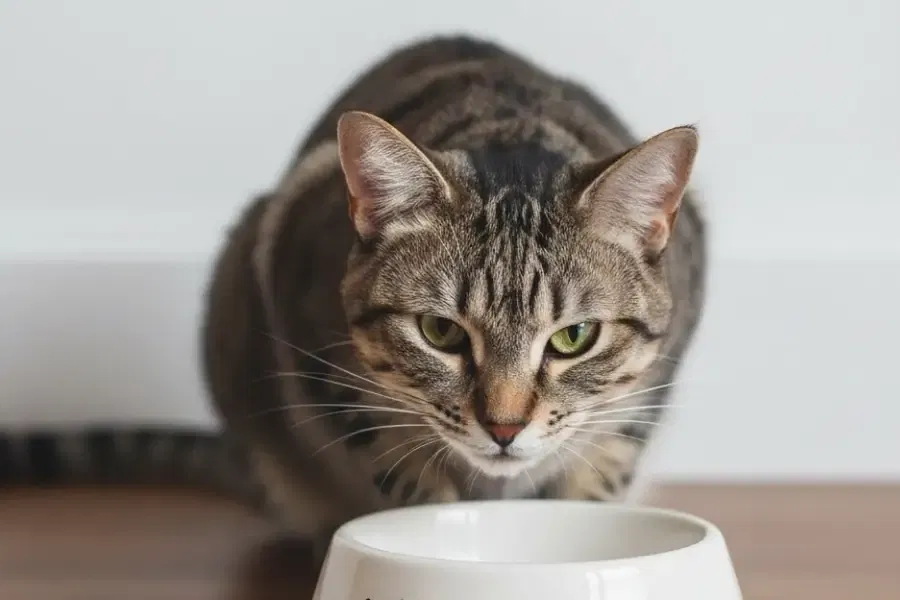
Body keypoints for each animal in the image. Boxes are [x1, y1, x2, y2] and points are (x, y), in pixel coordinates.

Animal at [1, 34, 706, 559]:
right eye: (441, 332)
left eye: (573, 337)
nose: (504, 427)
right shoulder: (311, 336)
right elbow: (398, 468)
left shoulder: (647, 390)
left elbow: (601, 465)